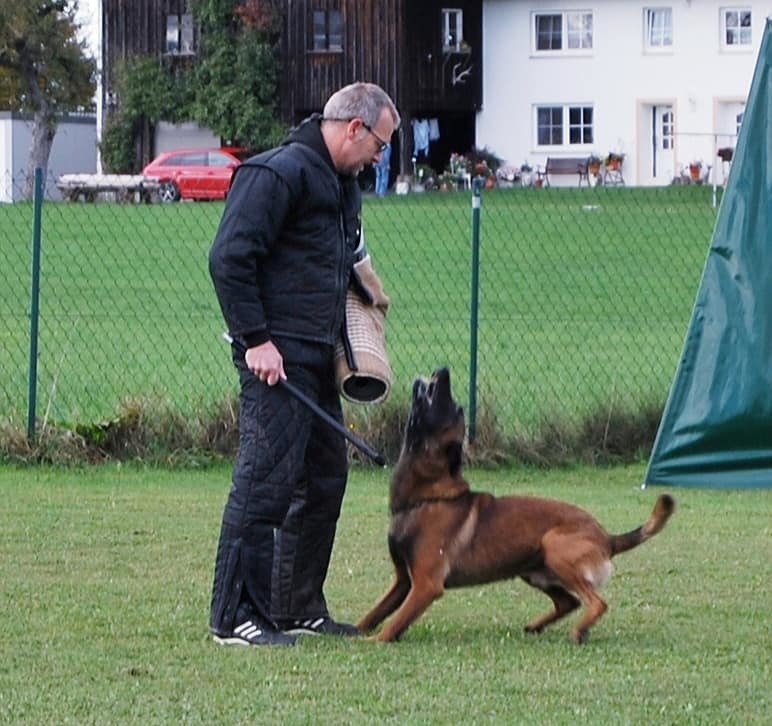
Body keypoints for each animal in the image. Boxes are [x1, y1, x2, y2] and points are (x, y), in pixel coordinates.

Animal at [357, 367, 675, 643]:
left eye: (454, 408)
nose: (443, 369)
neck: (426, 498)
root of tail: (607, 537)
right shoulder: (403, 581)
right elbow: (376, 612)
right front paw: (355, 631)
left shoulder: (425, 585)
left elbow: (394, 621)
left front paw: (375, 641)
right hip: (535, 570)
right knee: (569, 602)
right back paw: (537, 626)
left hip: (554, 546)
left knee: (596, 603)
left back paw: (578, 631)